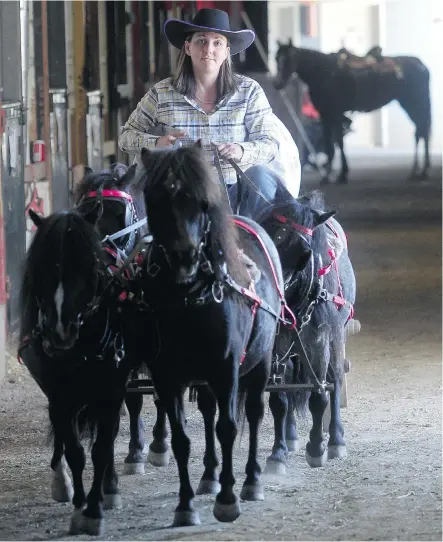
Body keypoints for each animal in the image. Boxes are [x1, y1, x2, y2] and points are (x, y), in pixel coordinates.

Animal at [18, 207, 132, 536]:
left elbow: (102, 449)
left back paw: (110, 486)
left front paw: (95, 508)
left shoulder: (112, 392)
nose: (59, 331)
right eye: (41, 265)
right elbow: (75, 451)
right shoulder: (58, 395)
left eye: (87, 264)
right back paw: (62, 480)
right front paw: (80, 504)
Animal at [119, 144, 288, 528]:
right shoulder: (167, 376)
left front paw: (228, 499)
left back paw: (252, 480)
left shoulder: (226, 369)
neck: (188, 299)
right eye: (156, 199)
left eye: (201, 202)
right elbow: (182, 438)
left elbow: (228, 428)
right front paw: (186, 505)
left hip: (260, 362)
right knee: (209, 413)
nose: (185, 257)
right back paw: (209, 476)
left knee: (253, 413)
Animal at [276, 40, 432, 184]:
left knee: (421, 132)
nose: (277, 83)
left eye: (289, 59)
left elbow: (338, 143)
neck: (325, 73)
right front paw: (328, 176)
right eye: (276, 58)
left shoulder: (334, 114)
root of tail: (421, 65)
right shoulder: (326, 115)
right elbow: (330, 144)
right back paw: (418, 171)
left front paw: (341, 175)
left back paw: (421, 171)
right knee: (421, 132)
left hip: (414, 104)